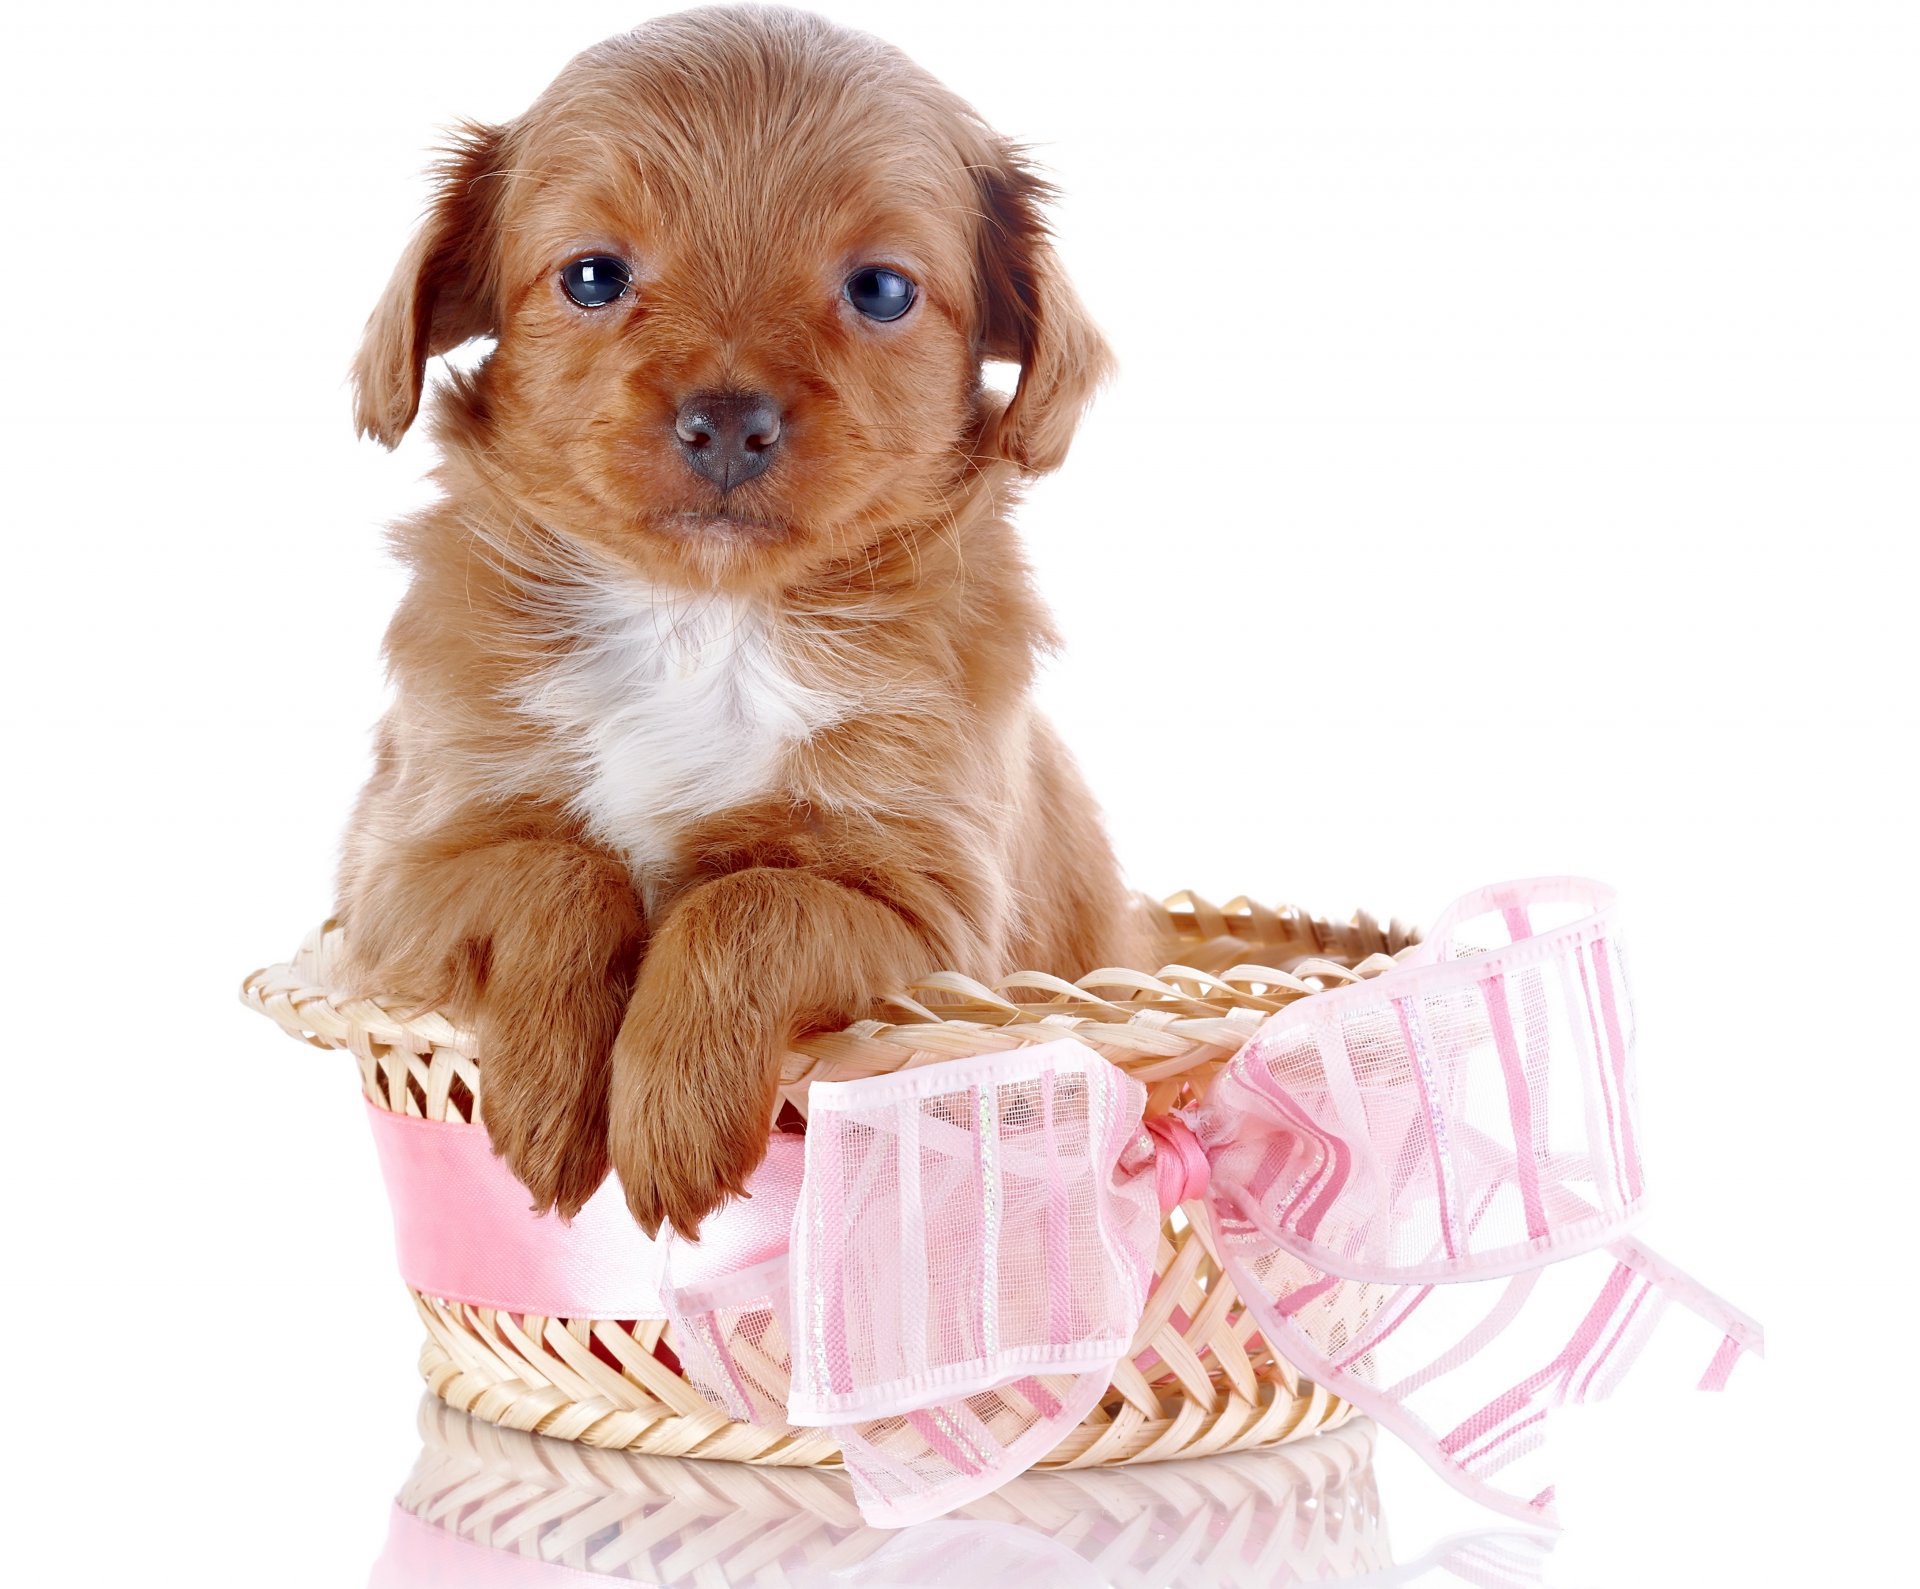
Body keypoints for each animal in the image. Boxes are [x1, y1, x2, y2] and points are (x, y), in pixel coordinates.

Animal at [337, 5, 1149, 1239]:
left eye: (881, 290)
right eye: (592, 275)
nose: (726, 419)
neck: (700, 622)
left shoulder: (938, 929)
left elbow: (744, 901)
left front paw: (669, 1111)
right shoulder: (392, 876)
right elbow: (560, 872)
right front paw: (550, 1098)